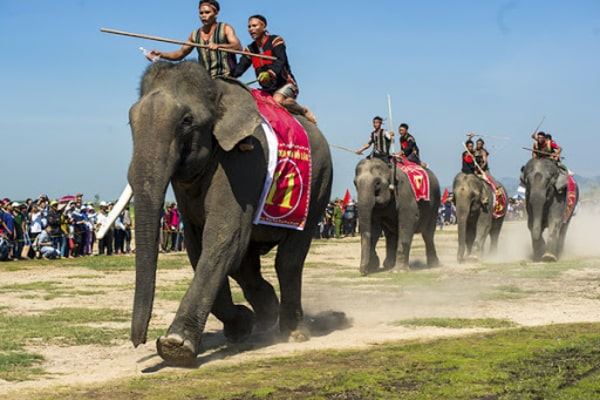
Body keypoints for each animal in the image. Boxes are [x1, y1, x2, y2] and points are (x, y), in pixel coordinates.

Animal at [128, 60, 332, 366]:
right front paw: (242, 326)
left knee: (288, 260)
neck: (217, 89)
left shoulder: (244, 160)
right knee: (246, 264)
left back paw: (293, 332)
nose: (138, 343)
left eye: (186, 121)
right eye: (131, 121)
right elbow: (198, 246)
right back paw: (266, 317)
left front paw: (175, 346)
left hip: (319, 186)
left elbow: (224, 237)